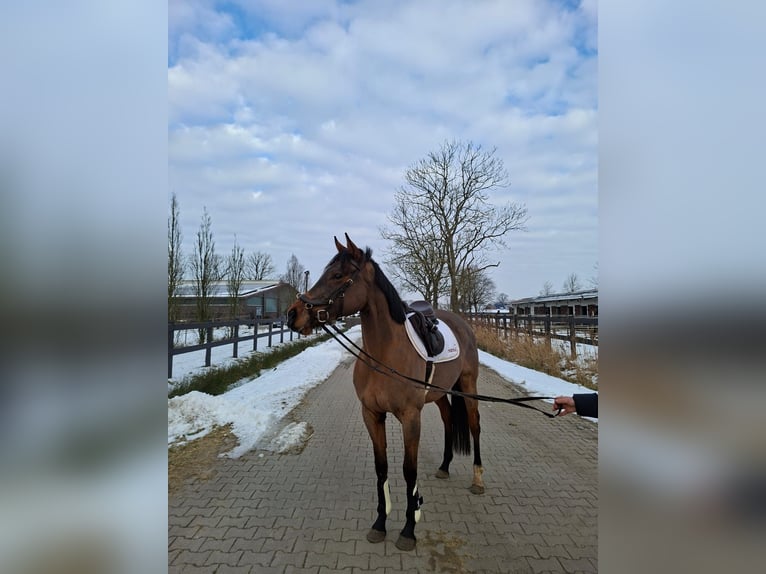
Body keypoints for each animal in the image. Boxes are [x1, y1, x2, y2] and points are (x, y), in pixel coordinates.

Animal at [286, 234, 483, 551]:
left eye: (337, 275)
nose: (293, 314)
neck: (384, 354)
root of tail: (461, 323)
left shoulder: (410, 417)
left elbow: (409, 470)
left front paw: (409, 528)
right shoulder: (372, 415)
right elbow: (381, 468)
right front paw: (380, 523)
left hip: (468, 386)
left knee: (475, 426)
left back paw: (477, 480)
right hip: (440, 393)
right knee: (449, 421)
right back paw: (444, 465)